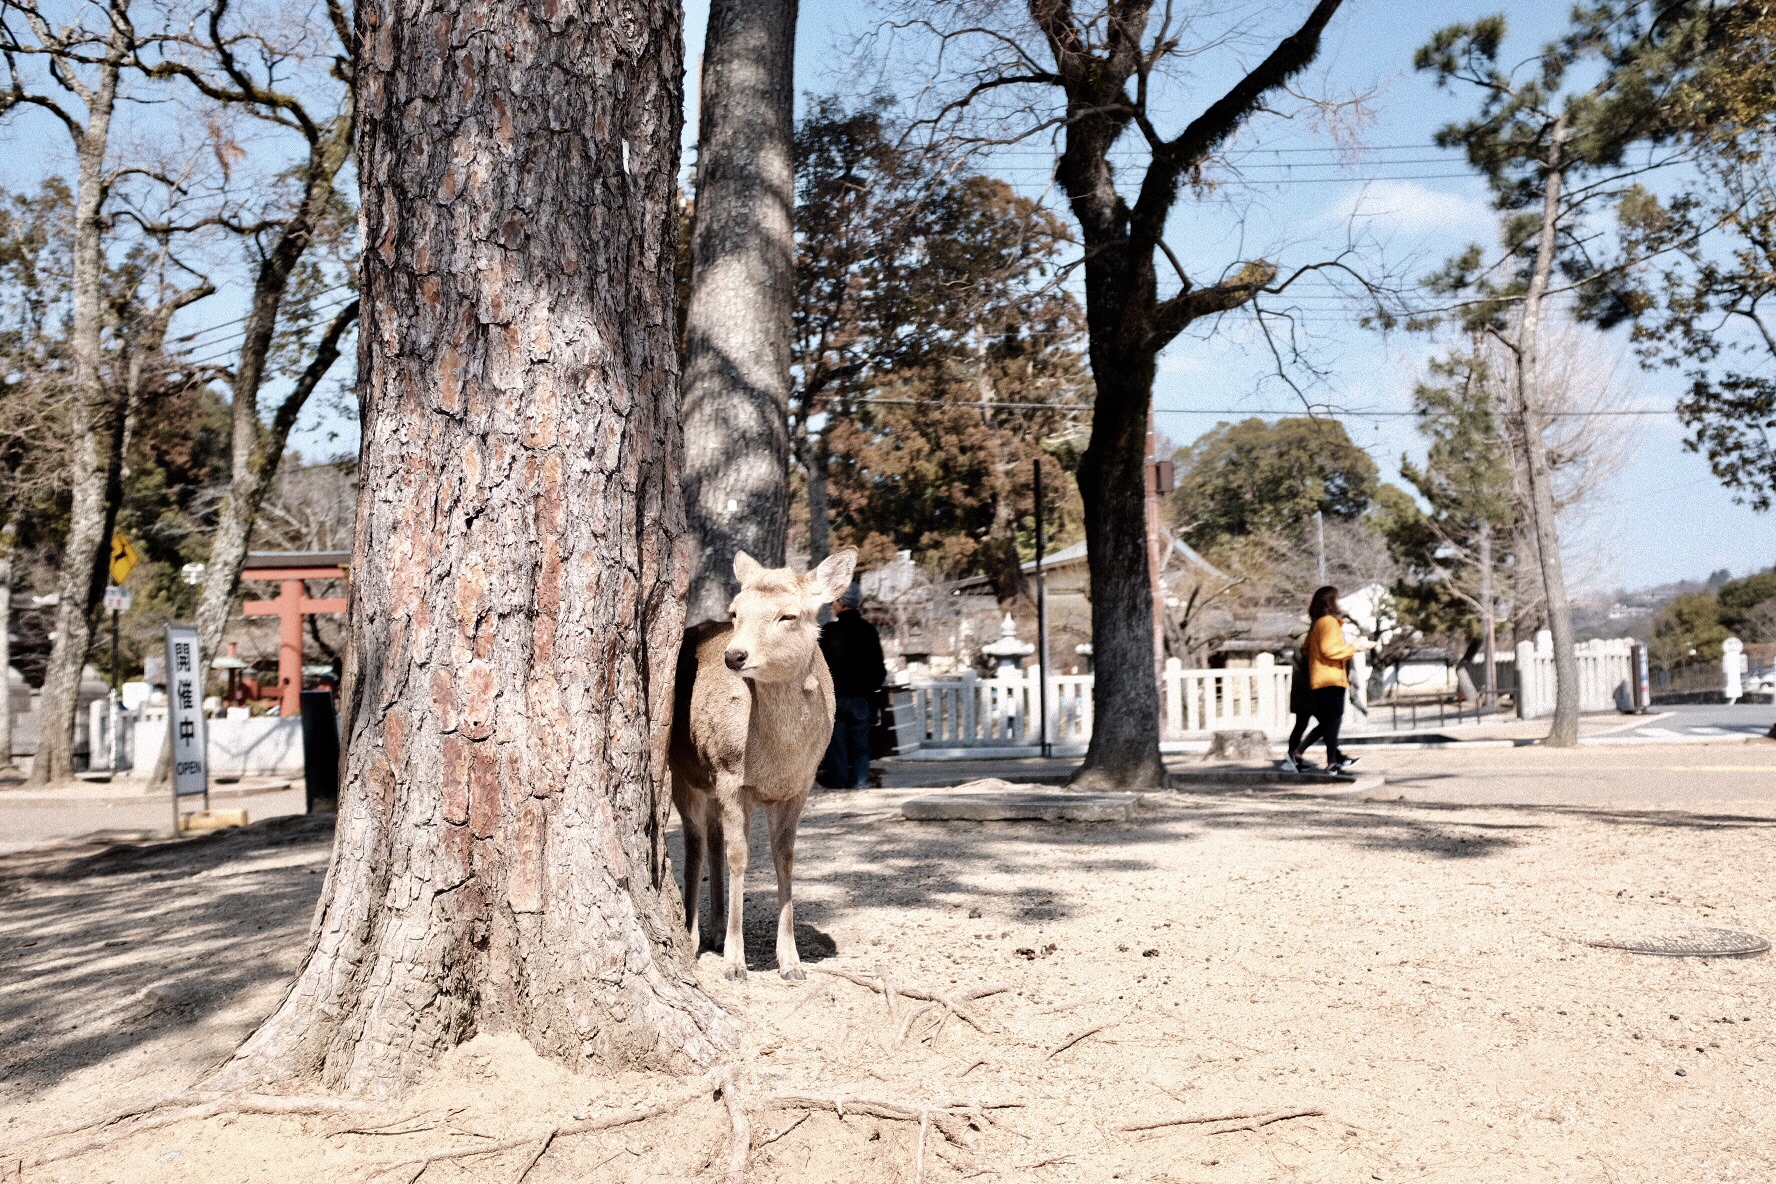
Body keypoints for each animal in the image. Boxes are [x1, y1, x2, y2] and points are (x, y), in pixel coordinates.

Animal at [667, 546, 856, 979]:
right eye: (735, 611)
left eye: (788, 615)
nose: (735, 655)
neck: (776, 760)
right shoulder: (730, 775)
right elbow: (740, 858)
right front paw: (736, 963)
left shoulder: (799, 786)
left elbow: (784, 858)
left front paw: (791, 962)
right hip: (683, 771)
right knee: (695, 840)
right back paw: (693, 933)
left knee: (713, 836)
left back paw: (716, 930)